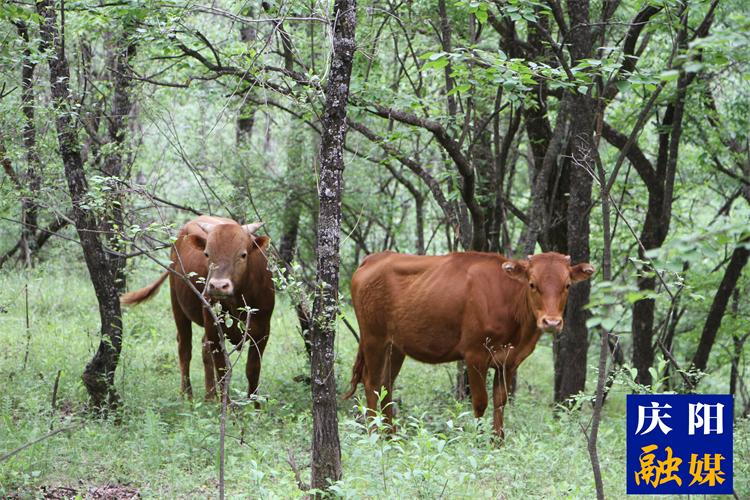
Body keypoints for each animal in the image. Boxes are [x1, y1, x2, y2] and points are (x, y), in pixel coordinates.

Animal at [121, 216, 275, 402]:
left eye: (243, 254)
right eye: (207, 254)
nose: (217, 286)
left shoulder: (263, 331)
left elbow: (253, 371)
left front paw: (256, 405)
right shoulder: (214, 330)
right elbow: (222, 372)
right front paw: (227, 406)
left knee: (204, 349)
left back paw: (210, 397)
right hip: (177, 306)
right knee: (185, 349)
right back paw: (187, 395)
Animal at [343, 251, 594, 437]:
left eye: (567, 285)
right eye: (532, 284)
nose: (551, 322)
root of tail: (374, 258)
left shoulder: (509, 362)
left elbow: (500, 402)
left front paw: (497, 443)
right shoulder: (475, 355)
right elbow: (481, 402)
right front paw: (478, 440)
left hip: (396, 346)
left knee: (386, 384)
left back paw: (391, 436)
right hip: (373, 337)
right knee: (372, 382)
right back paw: (375, 435)